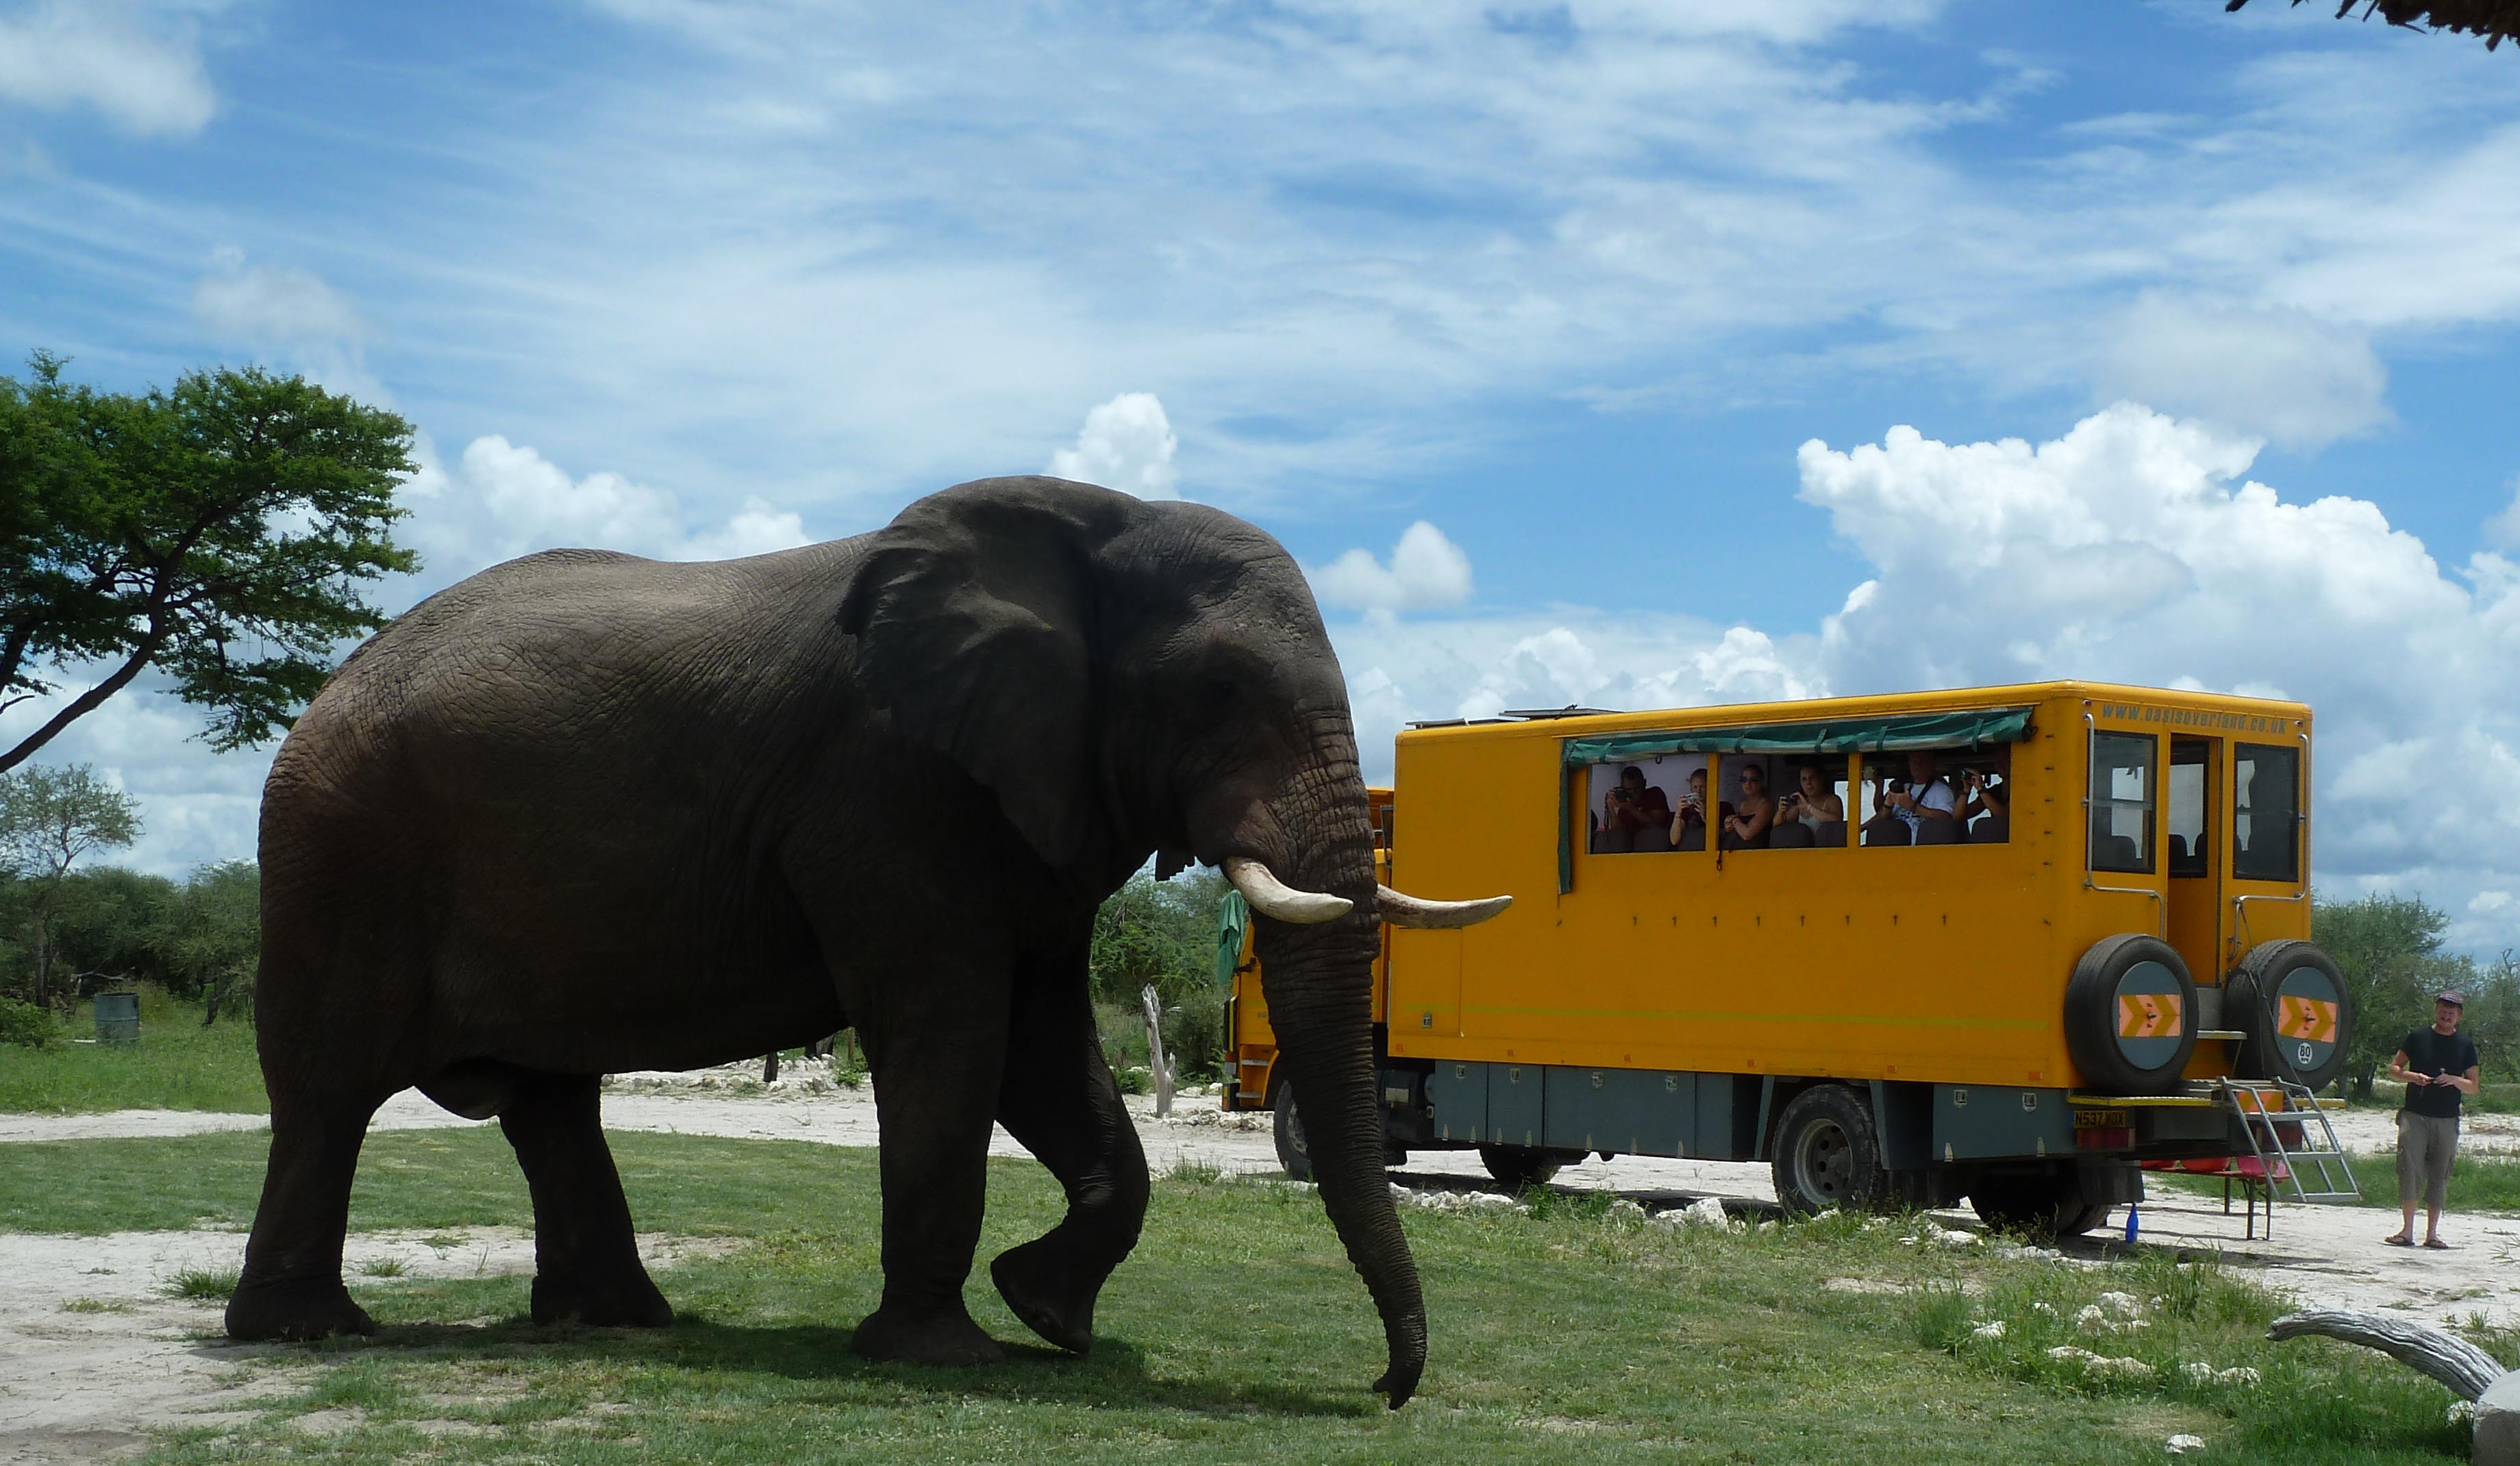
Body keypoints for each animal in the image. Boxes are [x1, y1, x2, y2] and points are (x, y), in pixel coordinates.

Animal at [227, 473, 1501, 1411]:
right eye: (1220, 690)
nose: (1383, 1391)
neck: (1093, 523)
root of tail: (331, 685)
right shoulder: (888, 789)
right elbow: (950, 1031)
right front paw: (948, 1353)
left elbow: (1042, 1049)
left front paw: (1046, 1315)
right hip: (342, 853)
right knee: (330, 1087)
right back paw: (309, 1333)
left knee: (550, 1104)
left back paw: (618, 1320)